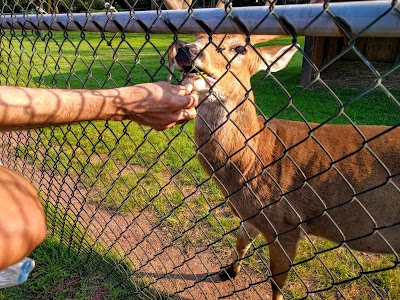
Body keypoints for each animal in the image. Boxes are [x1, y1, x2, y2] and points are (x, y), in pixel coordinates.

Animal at [163, 1, 400, 298]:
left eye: (239, 48)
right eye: (196, 36)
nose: (186, 49)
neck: (254, 160)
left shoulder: (286, 223)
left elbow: (277, 282)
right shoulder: (252, 215)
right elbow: (241, 241)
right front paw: (229, 272)